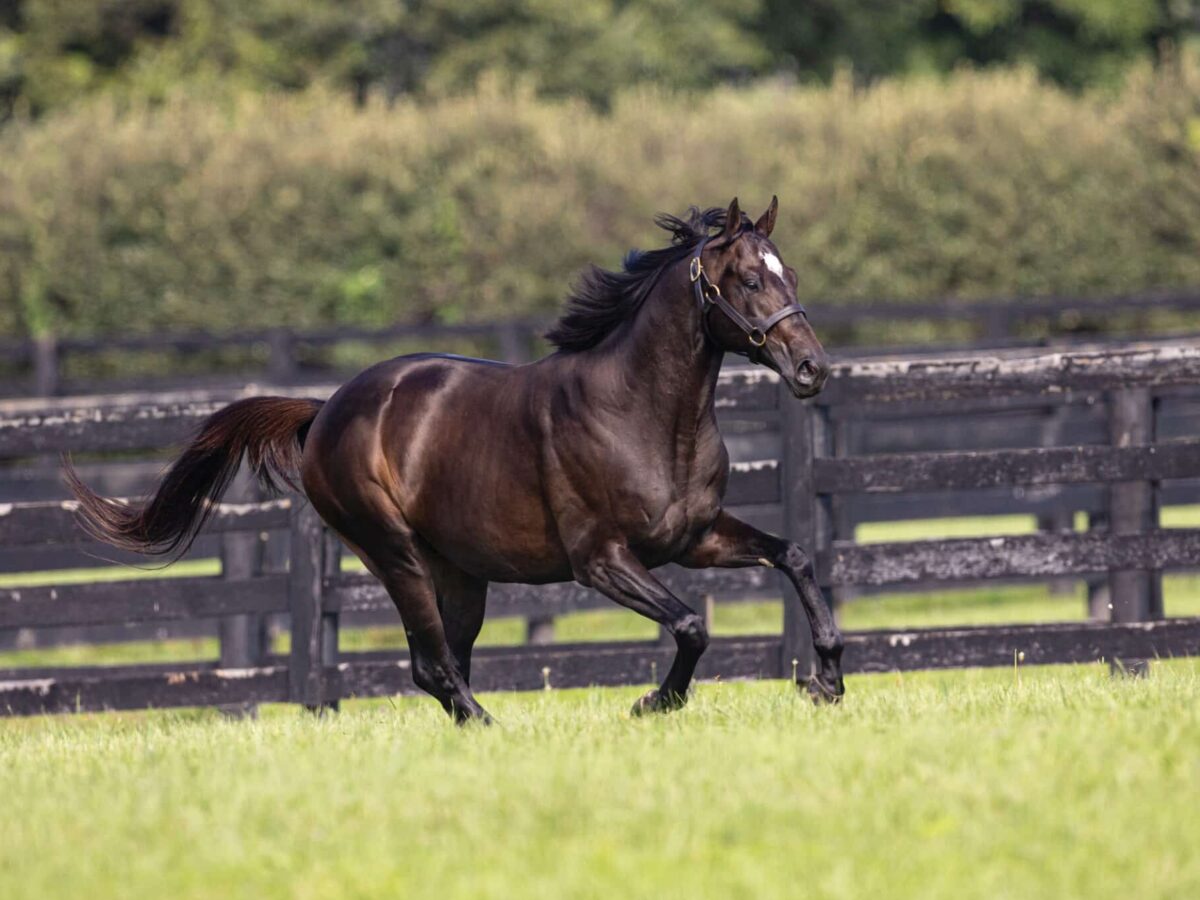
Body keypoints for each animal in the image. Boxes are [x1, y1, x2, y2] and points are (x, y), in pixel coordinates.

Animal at [60, 196, 840, 724]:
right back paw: (491, 729)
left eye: (793, 274)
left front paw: (825, 681)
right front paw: (655, 701)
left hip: (461, 573)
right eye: (747, 281)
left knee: (447, 663)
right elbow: (691, 625)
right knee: (432, 666)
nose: (812, 368)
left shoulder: (693, 538)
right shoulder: (602, 561)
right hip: (396, 554)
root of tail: (327, 410)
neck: (643, 414)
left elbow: (796, 557)